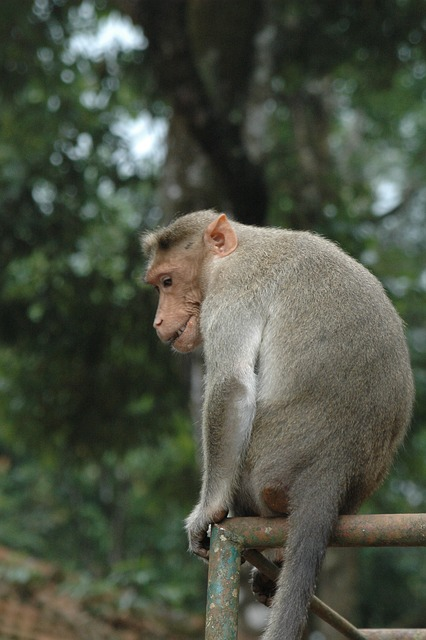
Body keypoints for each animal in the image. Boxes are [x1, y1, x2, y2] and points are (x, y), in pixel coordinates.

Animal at [141, 211, 414, 640]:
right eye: (157, 285)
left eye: (168, 282)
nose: (157, 321)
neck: (237, 249)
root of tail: (333, 469)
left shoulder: (231, 291)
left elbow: (232, 386)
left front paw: (207, 510)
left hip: (264, 465)